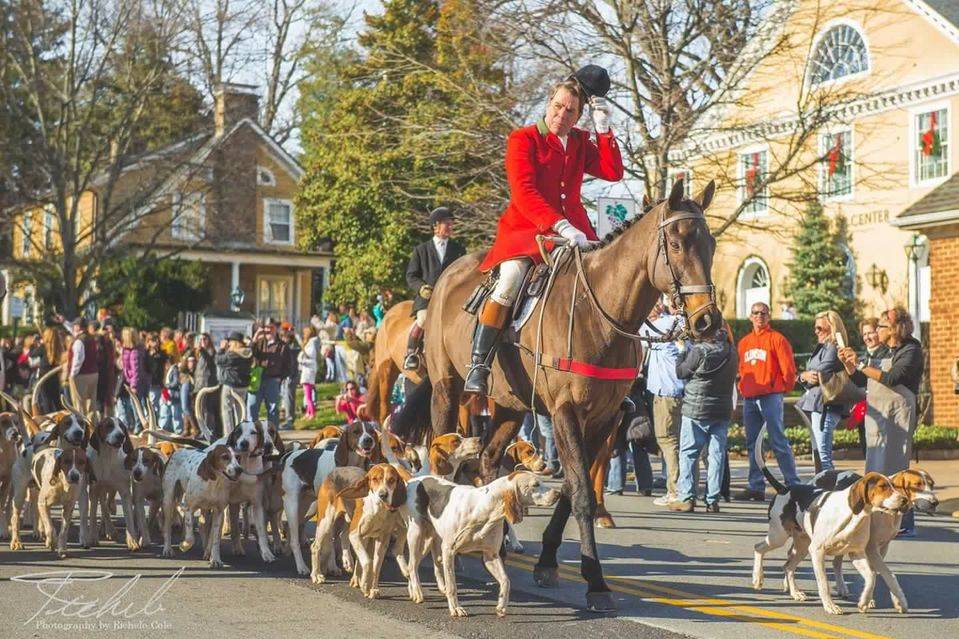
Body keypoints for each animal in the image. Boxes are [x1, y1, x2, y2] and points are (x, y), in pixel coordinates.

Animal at [392, 178, 720, 612]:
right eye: (679, 244)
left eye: (712, 243)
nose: (707, 321)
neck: (599, 313)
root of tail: (449, 275)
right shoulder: (566, 412)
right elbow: (580, 491)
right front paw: (595, 581)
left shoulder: (604, 417)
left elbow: (572, 487)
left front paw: (548, 560)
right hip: (448, 389)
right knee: (441, 454)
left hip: (510, 406)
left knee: (488, 459)